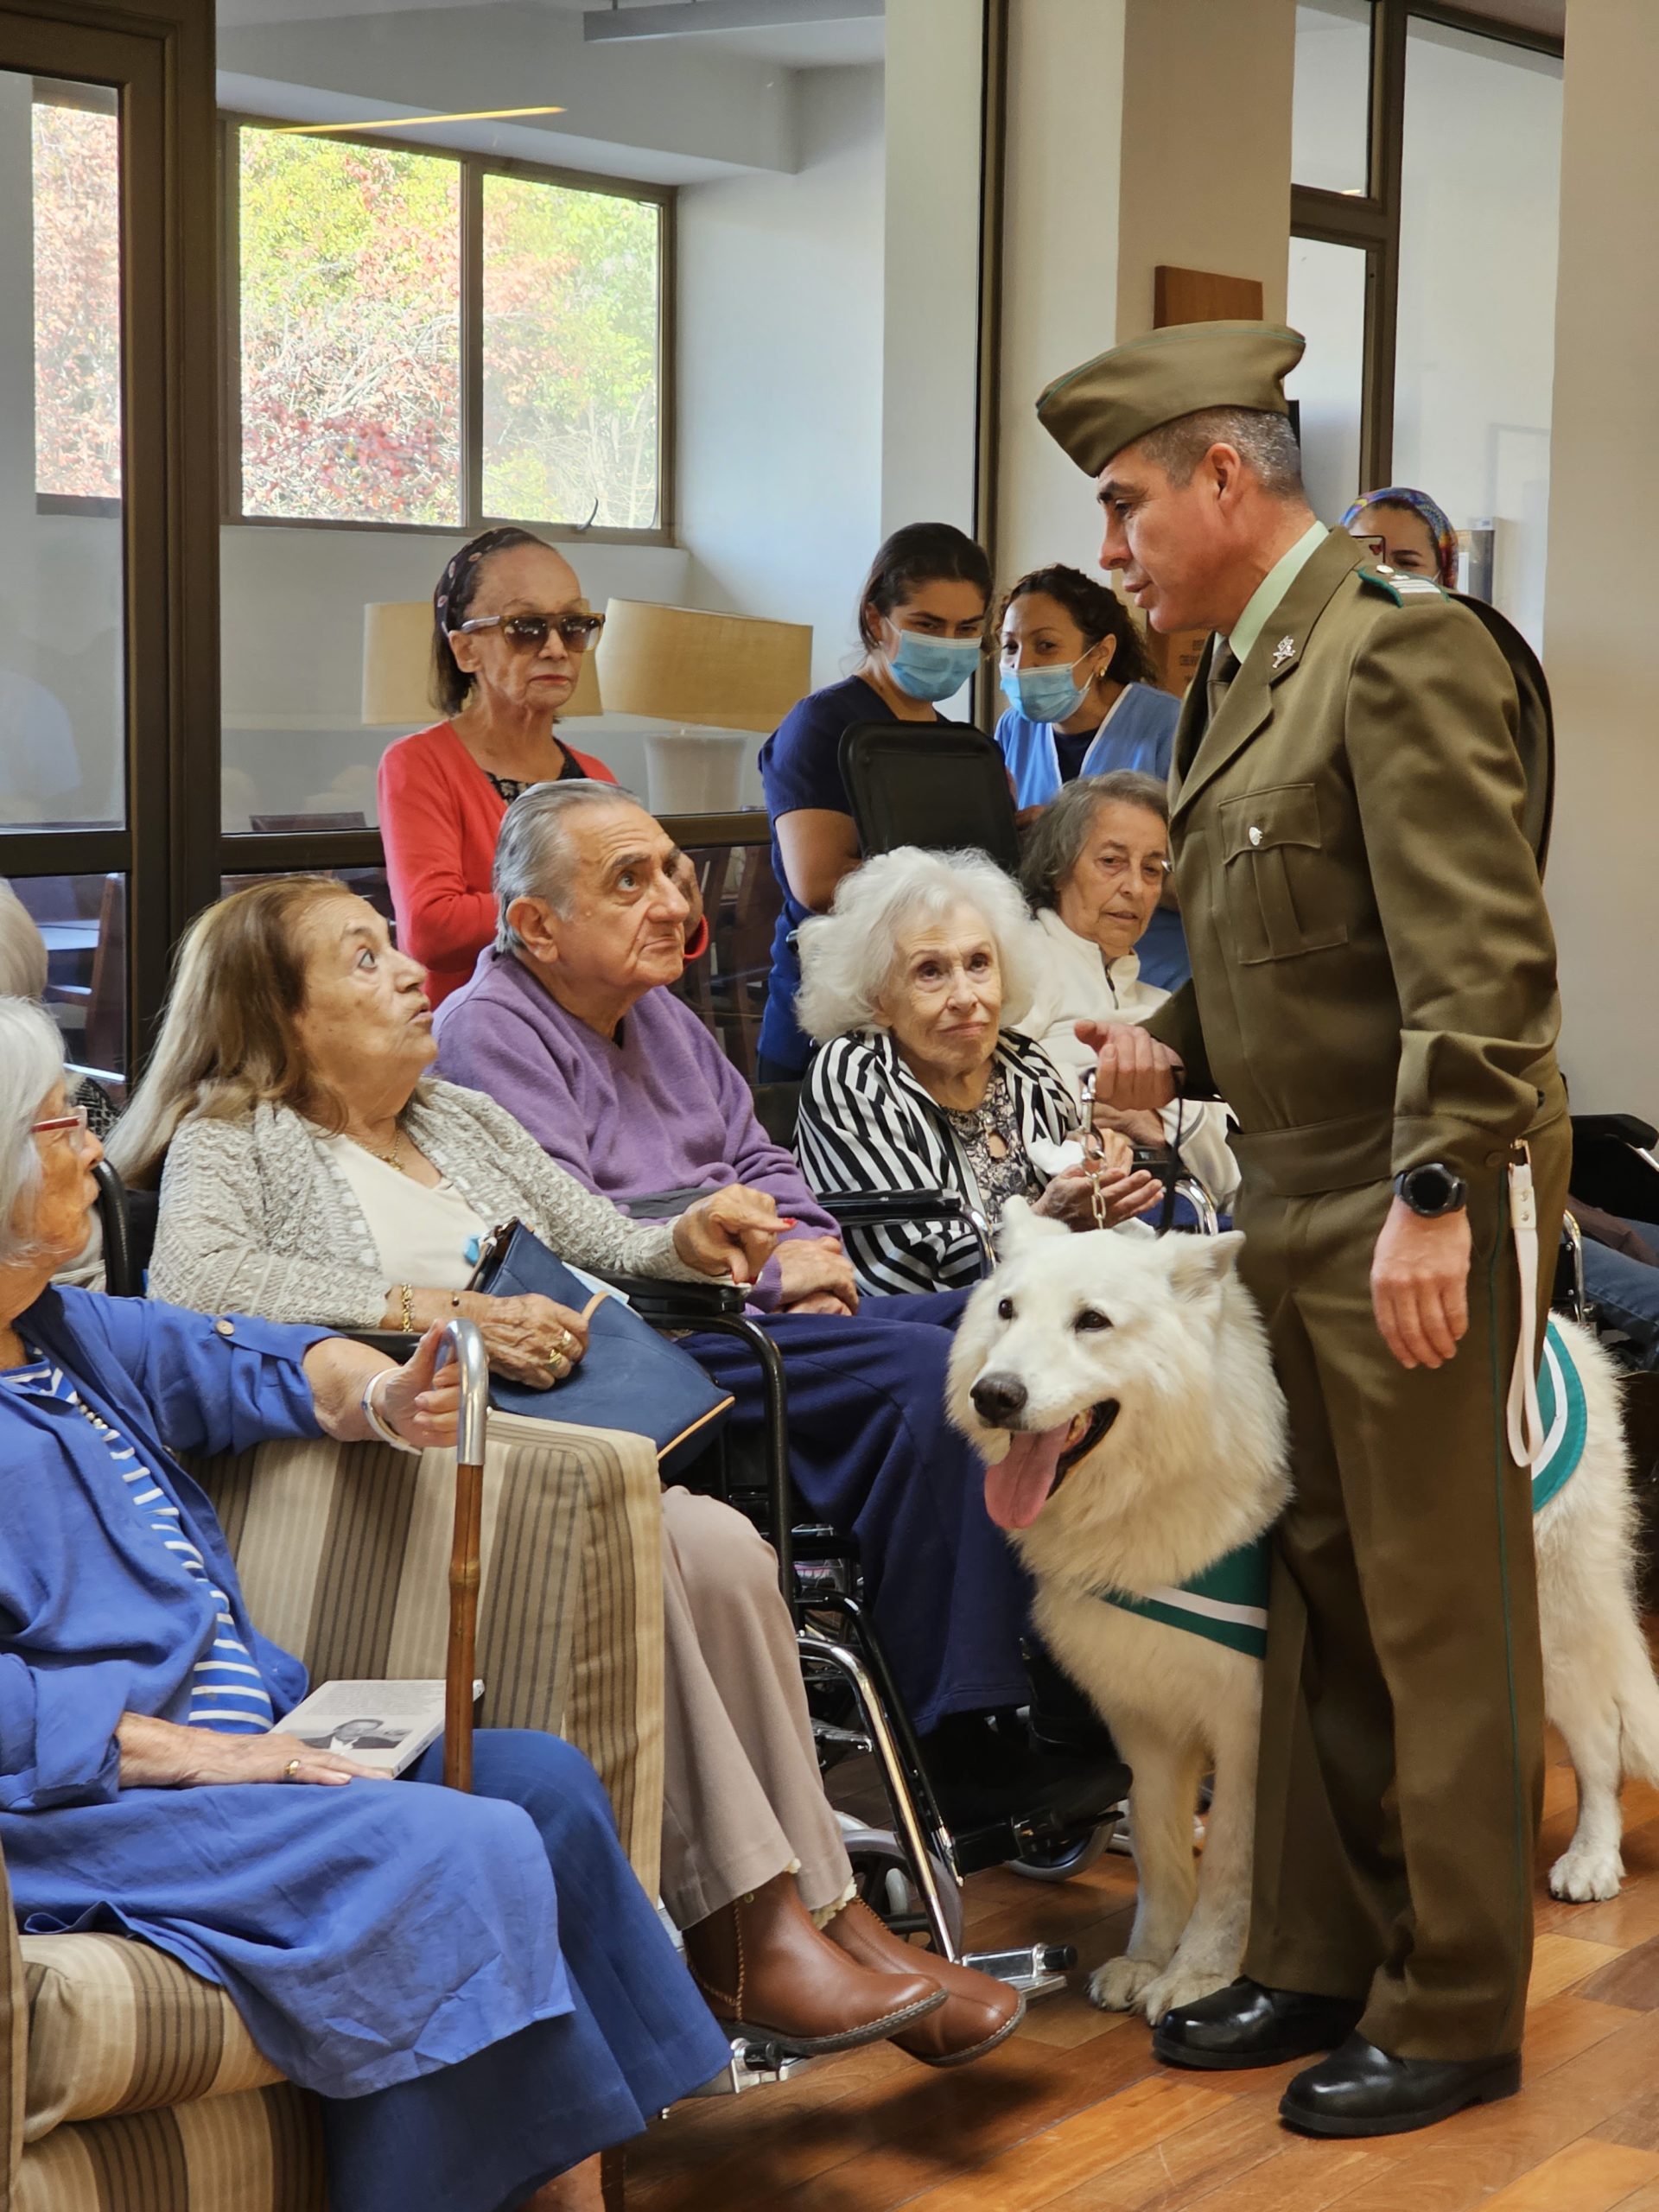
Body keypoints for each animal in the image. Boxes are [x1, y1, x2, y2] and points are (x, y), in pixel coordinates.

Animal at [946, 1203, 1659, 2024]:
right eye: (1005, 1310)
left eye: (1092, 1321)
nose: (994, 1395)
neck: (1159, 1484)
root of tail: (1567, 1330)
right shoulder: (1144, 1724)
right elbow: (1160, 1852)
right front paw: (1147, 1960)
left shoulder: (1250, 1722)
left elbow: (1228, 1863)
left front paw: (1198, 1975)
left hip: (1554, 1623)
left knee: (1600, 1740)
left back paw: (1591, 1859)